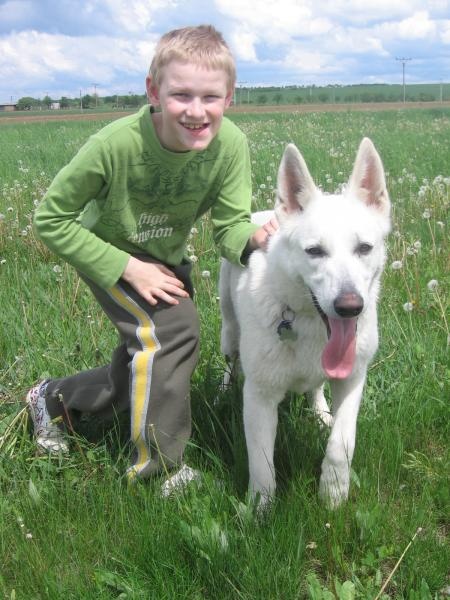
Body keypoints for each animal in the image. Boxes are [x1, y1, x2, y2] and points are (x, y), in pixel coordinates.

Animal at [221, 138, 390, 508]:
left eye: (364, 248)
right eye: (314, 251)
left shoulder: (353, 379)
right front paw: (260, 512)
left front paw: (333, 491)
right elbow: (262, 466)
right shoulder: (259, 396)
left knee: (316, 388)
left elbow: (342, 442)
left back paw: (320, 413)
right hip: (228, 330)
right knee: (229, 360)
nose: (350, 307)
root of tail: (265, 214)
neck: (311, 323)